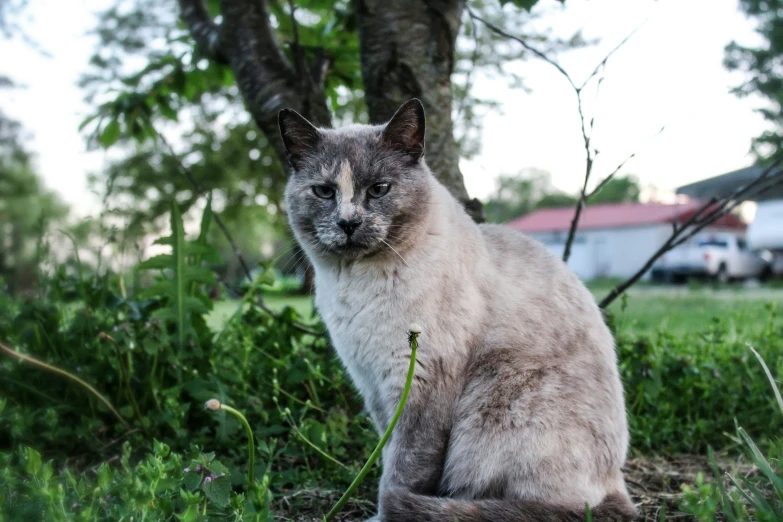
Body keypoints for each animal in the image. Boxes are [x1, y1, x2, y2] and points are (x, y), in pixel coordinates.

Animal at [278, 98, 636, 520]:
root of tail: (617, 484)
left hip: (495, 399)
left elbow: (402, 470)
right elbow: (387, 453)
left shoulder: (420, 383)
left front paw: (383, 513)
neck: (354, 284)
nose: (348, 222)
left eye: (379, 189)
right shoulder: (373, 385)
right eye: (324, 191)